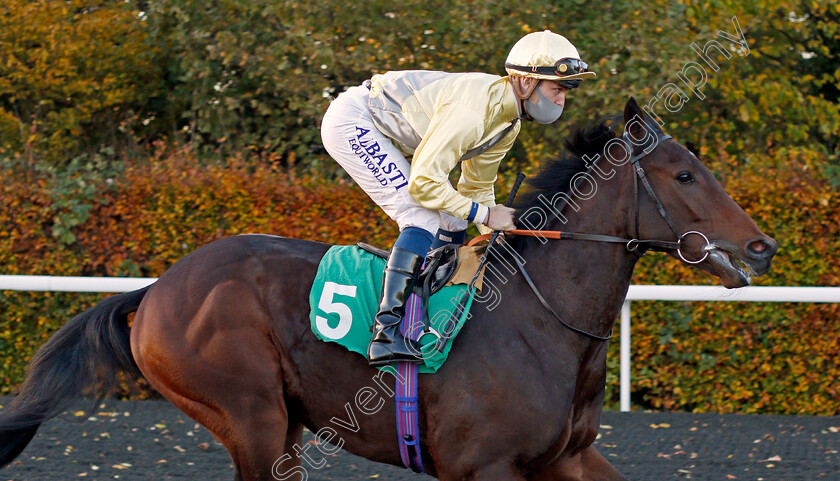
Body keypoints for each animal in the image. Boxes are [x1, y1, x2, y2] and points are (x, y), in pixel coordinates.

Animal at [0, 99, 776, 478]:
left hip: (279, 422)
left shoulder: (568, 456)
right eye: (685, 174)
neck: (542, 322)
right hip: (248, 415)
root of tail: (155, 291)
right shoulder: (484, 467)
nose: (761, 246)